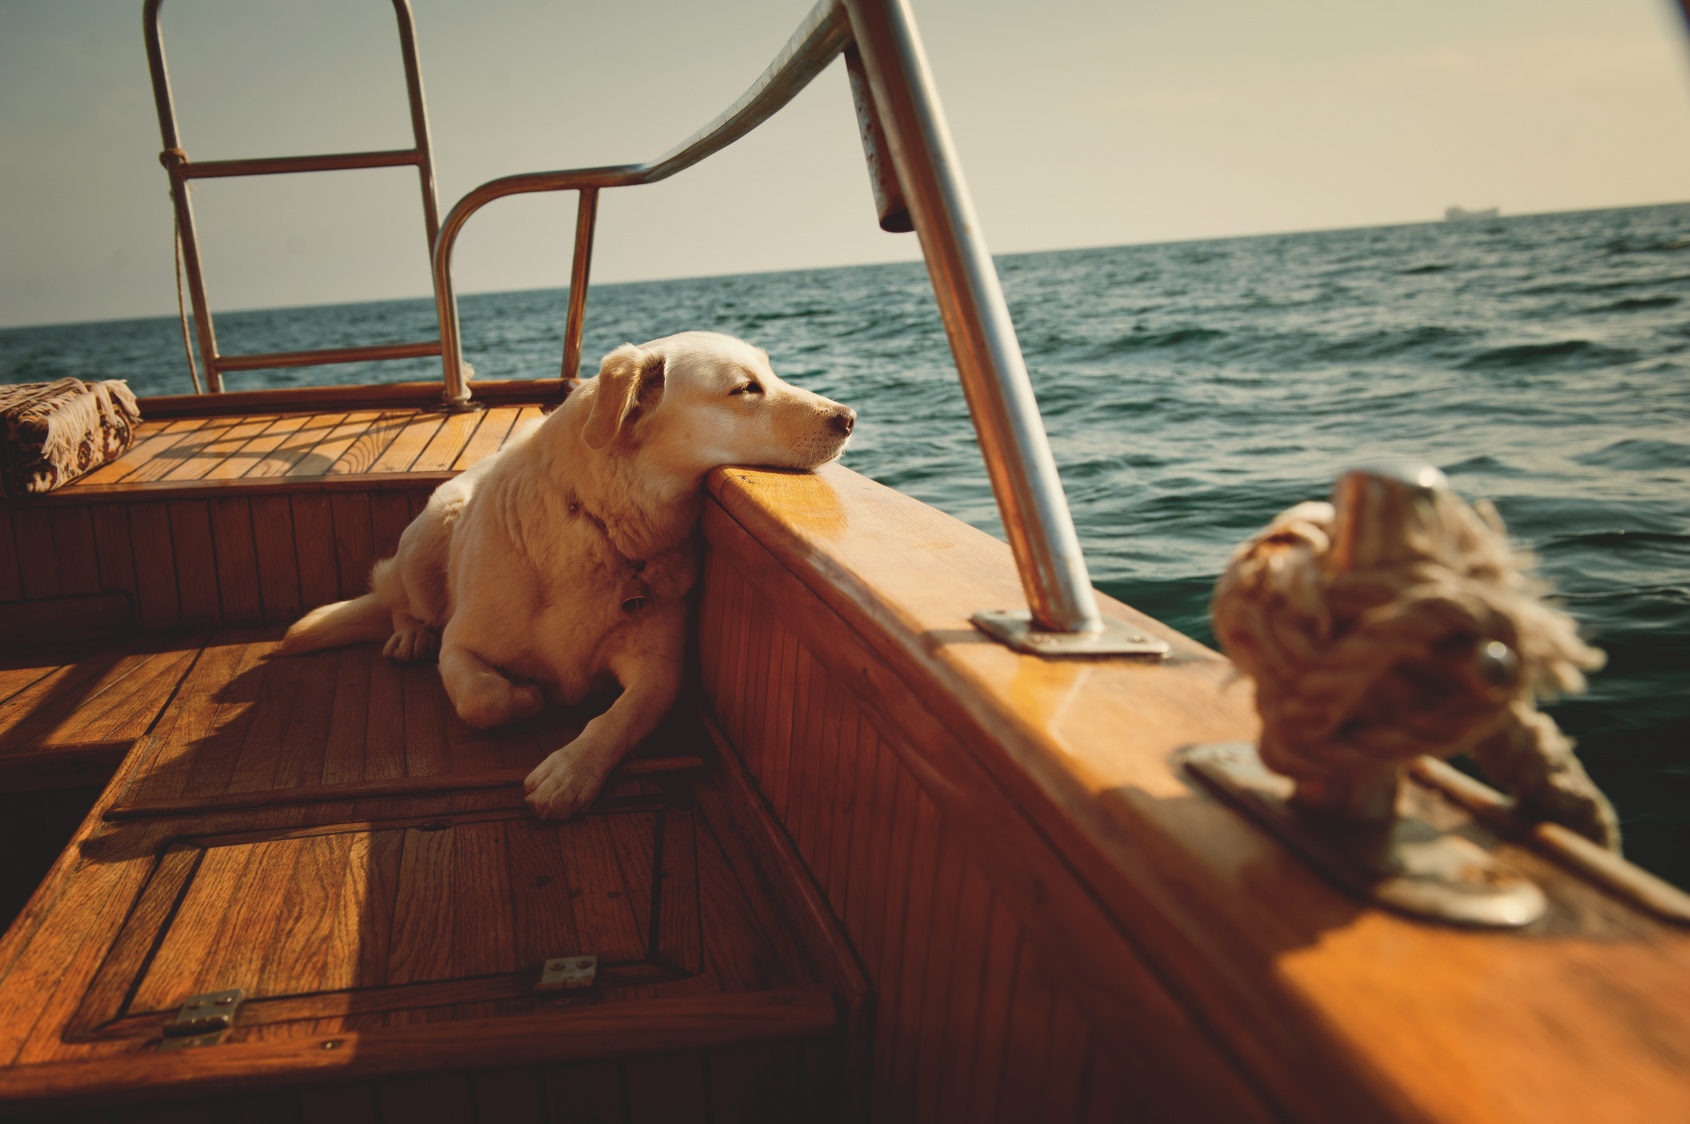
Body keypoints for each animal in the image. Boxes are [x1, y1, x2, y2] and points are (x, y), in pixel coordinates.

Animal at [283, 331, 858, 814]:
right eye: (745, 388)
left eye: (772, 374)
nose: (849, 416)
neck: (602, 528)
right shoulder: (461, 646)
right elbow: (482, 698)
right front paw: (528, 697)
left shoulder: (659, 668)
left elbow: (618, 717)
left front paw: (571, 770)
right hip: (430, 535)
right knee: (401, 601)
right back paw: (408, 636)